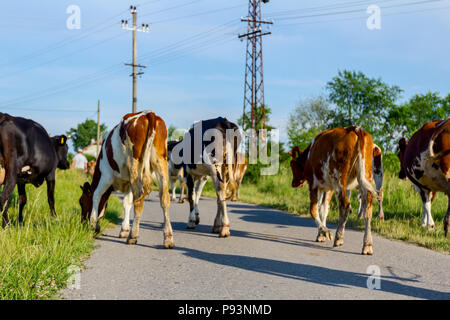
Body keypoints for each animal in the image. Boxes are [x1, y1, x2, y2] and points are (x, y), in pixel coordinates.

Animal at [79, 110, 174, 248]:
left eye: (81, 202)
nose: (81, 223)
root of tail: (149, 113)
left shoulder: (106, 176)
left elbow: (96, 195)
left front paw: (93, 224)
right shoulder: (128, 182)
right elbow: (127, 203)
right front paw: (124, 229)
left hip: (135, 164)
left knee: (139, 199)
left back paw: (133, 236)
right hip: (161, 161)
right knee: (164, 198)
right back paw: (168, 238)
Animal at [290, 126, 378, 254]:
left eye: (292, 165)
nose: (293, 183)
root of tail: (355, 128)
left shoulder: (313, 184)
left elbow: (313, 209)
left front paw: (325, 231)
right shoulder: (328, 188)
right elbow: (324, 209)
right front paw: (321, 235)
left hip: (339, 180)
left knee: (345, 206)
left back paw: (339, 238)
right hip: (365, 176)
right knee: (367, 209)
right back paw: (367, 245)